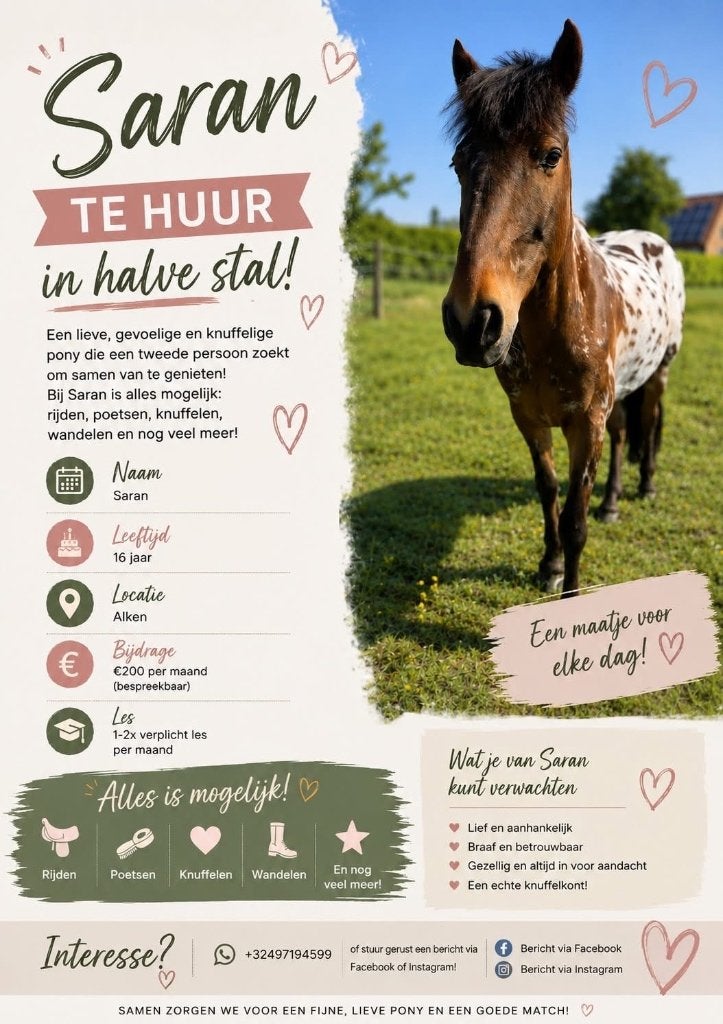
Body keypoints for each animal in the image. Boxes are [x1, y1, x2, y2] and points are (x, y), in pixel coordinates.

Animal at [441, 19, 684, 596]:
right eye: (459, 162)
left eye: (550, 155)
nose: (472, 322)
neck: (558, 328)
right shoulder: (529, 418)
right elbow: (548, 490)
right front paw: (549, 565)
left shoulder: (584, 423)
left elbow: (574, 518)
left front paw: (571, 589)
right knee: (624, 434)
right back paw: (613, 502)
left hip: (657, 375)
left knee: (648, 427)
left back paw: (644, 487)